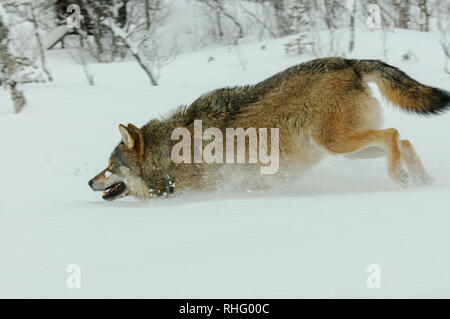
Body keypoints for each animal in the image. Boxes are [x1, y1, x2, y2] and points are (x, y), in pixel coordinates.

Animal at [89, 57, 450, 201]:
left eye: (109, 167)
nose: (90, 181)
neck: (167, 156)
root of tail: (350, 62)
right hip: (346, 150)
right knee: (404, 140)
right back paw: (422, 180)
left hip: (337, 144)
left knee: (394, 135)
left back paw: (401, 178)